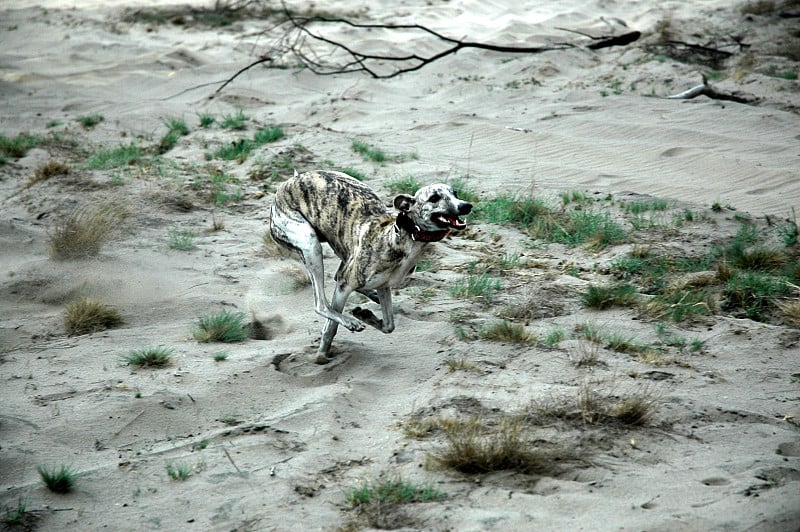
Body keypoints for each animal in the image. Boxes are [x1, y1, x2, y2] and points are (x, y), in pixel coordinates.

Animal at [270, 172, 468, 364]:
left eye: (455, 193)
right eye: (434, 198)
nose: (466, 205)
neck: (399, 235)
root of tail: (289, 181)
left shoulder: (383, 285)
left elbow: (389, 326)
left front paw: (366, 315)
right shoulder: (346, 284)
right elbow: (330, 328)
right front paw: (322, 355)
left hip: (341, 251)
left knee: (337, 276)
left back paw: (370, 299)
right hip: (311, 245)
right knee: (321, 304)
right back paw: (349, 320)